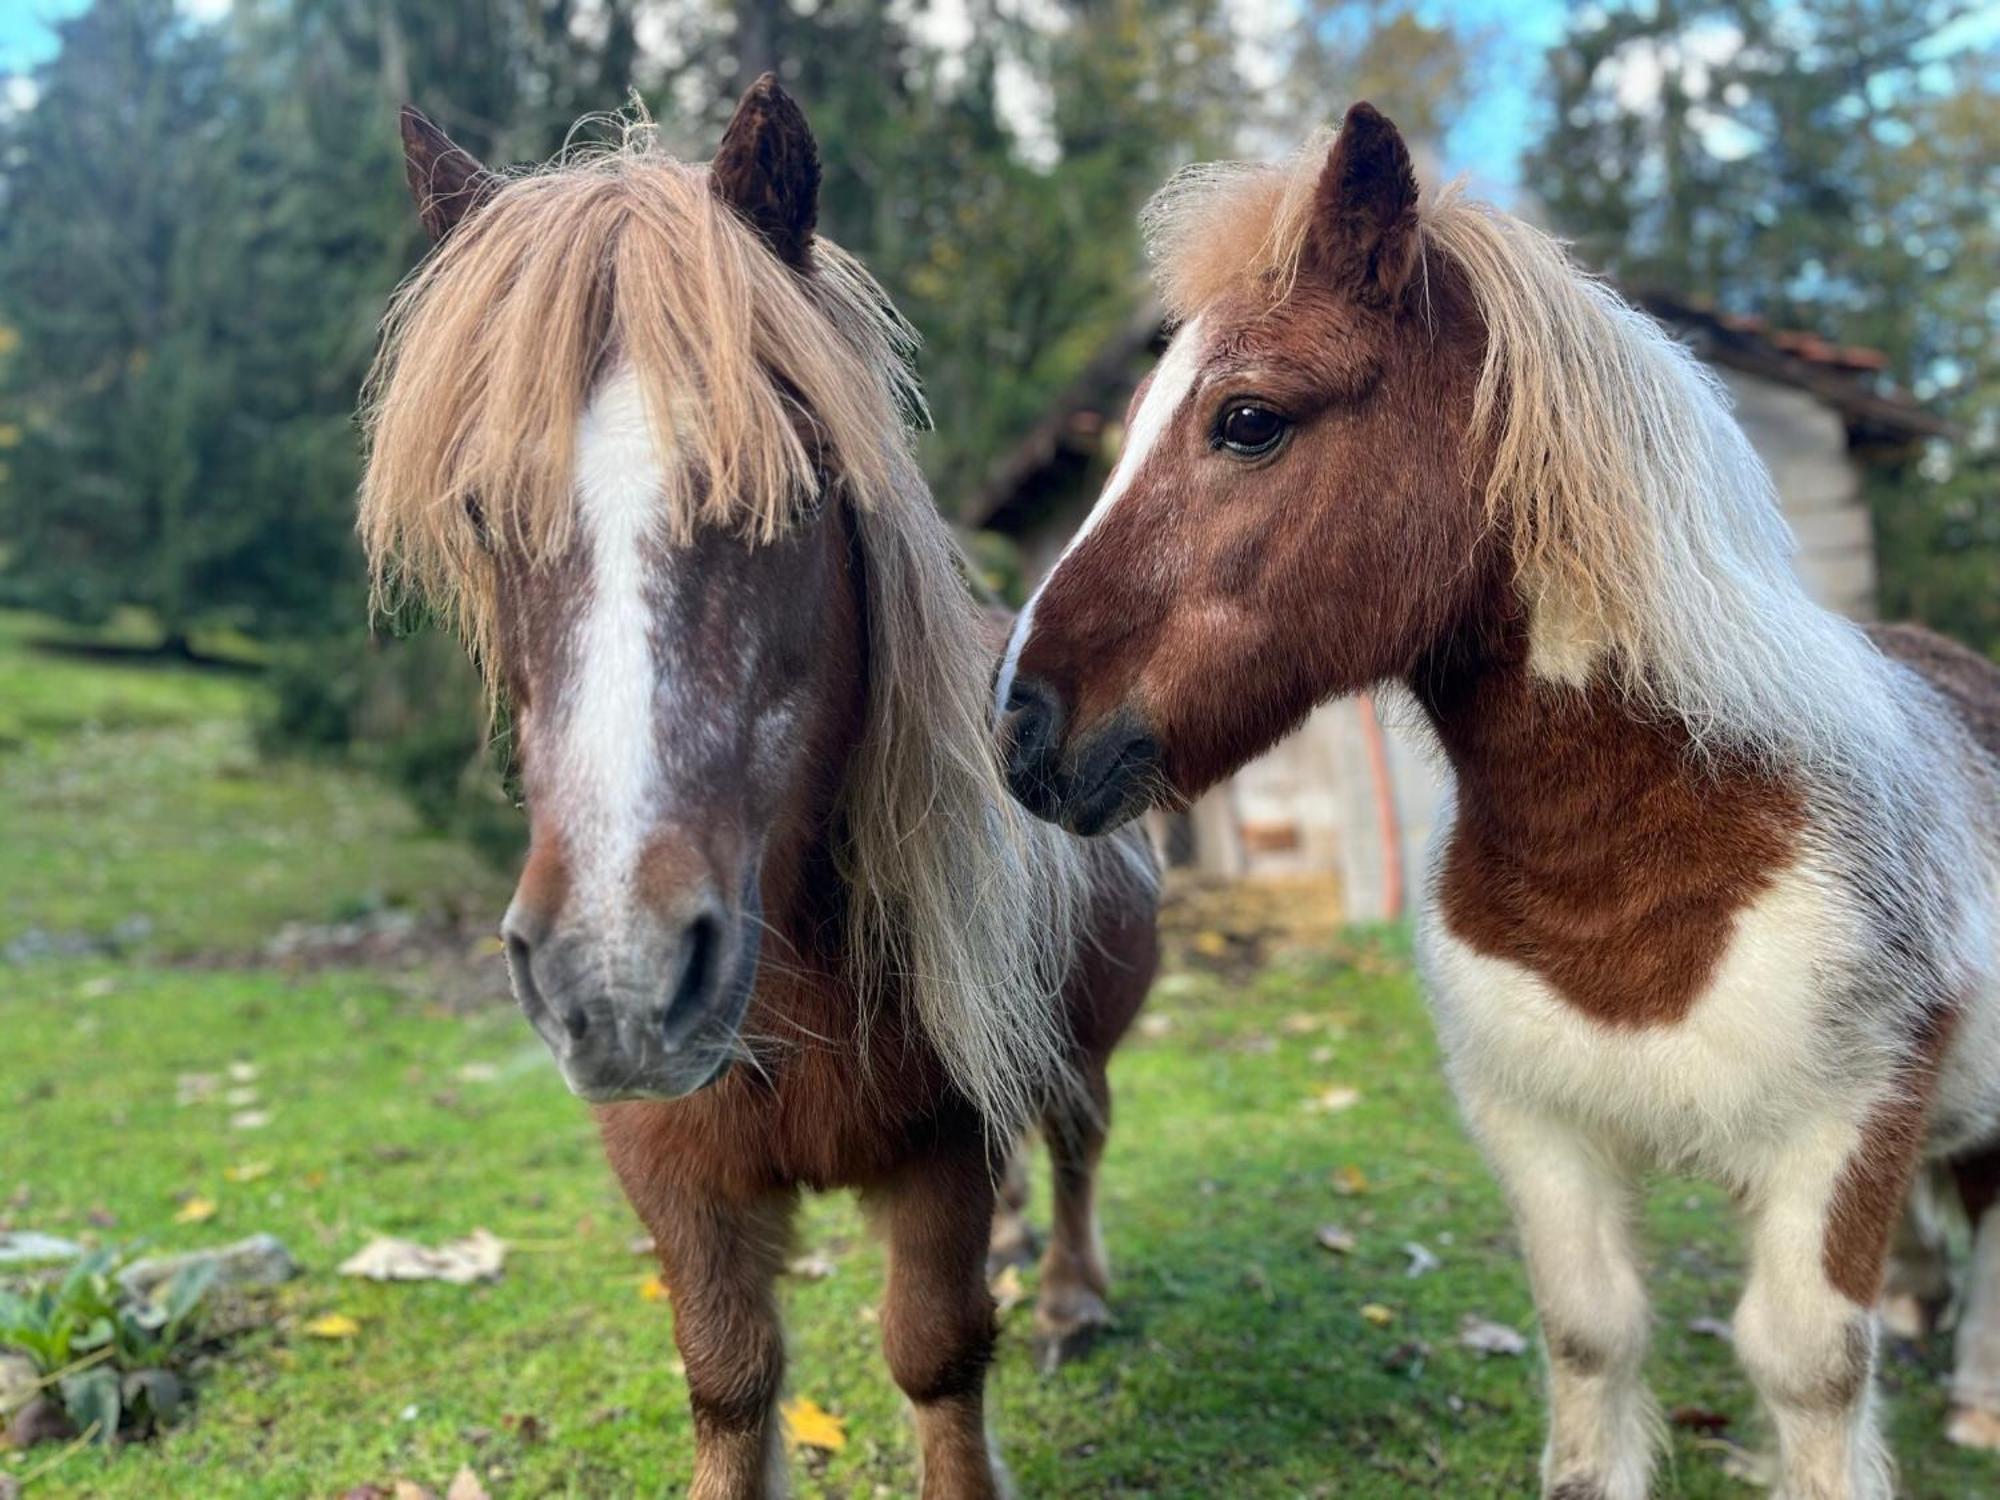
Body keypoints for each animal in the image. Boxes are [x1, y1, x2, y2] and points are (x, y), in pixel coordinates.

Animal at [362, 85, 1168, 1500]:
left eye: (792, 484)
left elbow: (936, 1356)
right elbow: (730, 1381)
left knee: (1077, 1143)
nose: (618, 981)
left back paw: (1069, 1293)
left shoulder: (942, 1154)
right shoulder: (677, 1179)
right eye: (477, 510)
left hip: (1078, 1049)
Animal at [996, 100, 2000, 1496]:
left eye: (1246, 419)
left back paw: (1973, 1397)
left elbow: (1805, 1368)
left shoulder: (1839, 1133)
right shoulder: (1537, 1129)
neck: (1641, 857)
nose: (1017, 726)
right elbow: (1589, 1334)